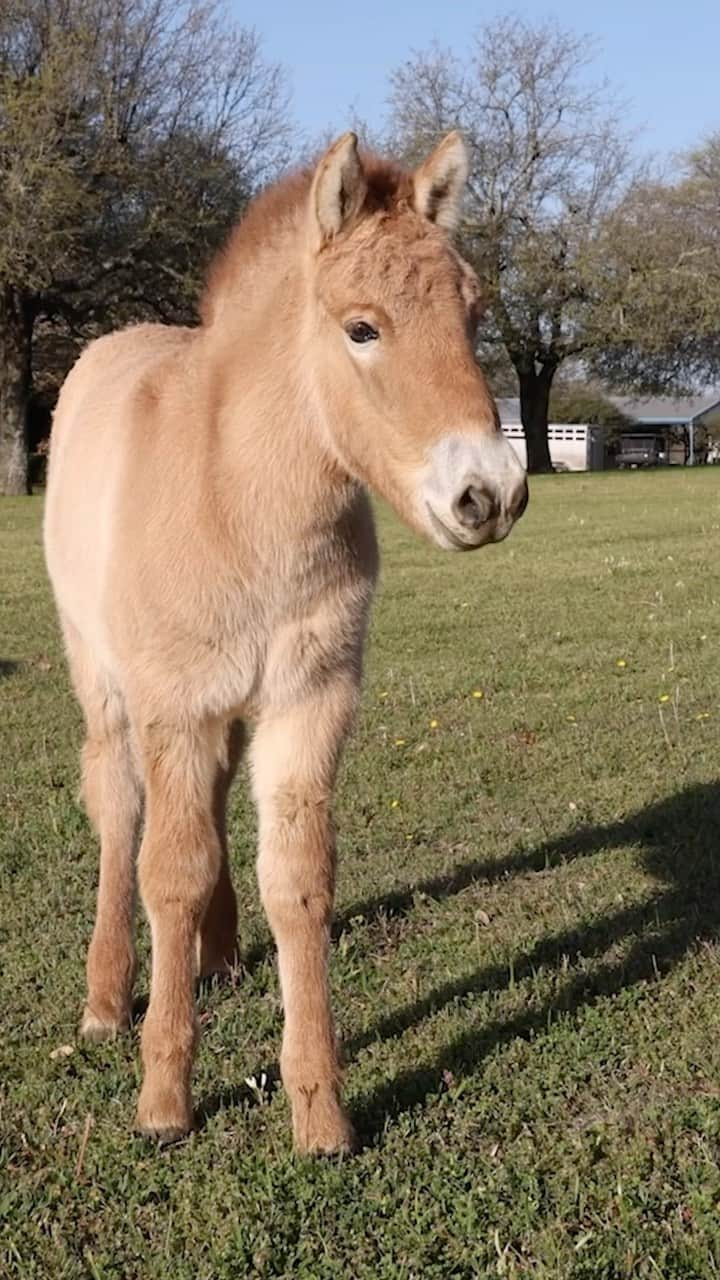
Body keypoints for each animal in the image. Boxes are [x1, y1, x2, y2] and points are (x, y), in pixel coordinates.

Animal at [44, 135, 527, 1157]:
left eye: (472, 315)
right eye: (362, 328)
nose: (490, 495)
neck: (238, 496)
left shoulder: (310, 702)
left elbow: (299, 884)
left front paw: (320, 1113)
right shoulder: (175, 707)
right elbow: (170, 875)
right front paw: (164, 1100)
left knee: (217, 804)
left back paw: (222, 958)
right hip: (104, 680)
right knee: (117, 809)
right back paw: (106, 1000)